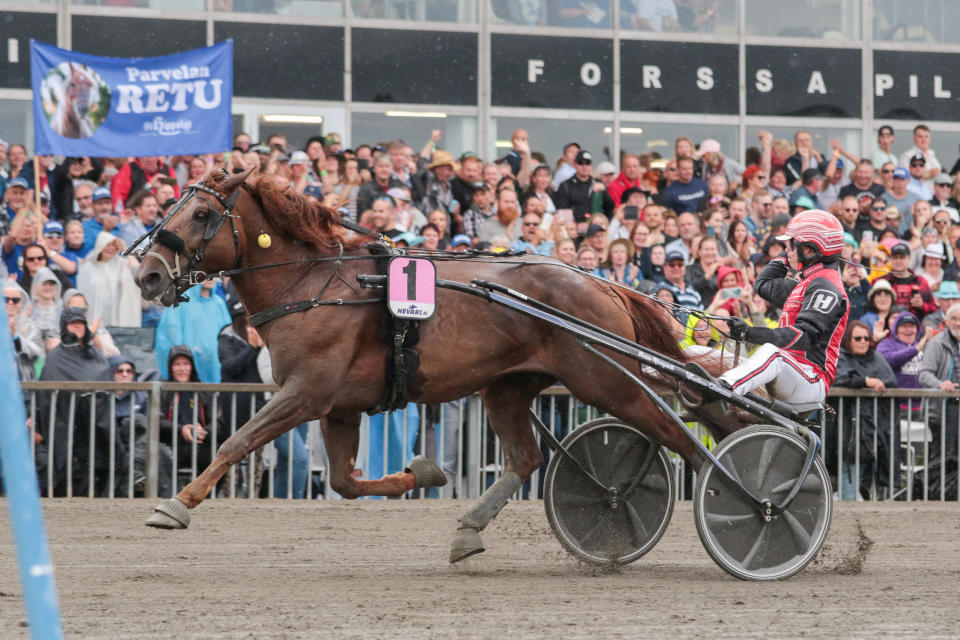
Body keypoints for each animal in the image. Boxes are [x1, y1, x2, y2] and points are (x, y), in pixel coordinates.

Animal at [135, 169, 728, 560]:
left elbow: (237, 441)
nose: (148, 275)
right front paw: (424, 471)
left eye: (202, 213)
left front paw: (176, 504)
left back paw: (730, 500)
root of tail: (599, 281)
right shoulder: (338, 407)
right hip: (509, 388)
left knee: (683, 437)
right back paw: (469, 529)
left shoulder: (305, 393)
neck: (312, 284)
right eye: (173, 206)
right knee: (527, 458)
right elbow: (347, 482)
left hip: (606, 381)